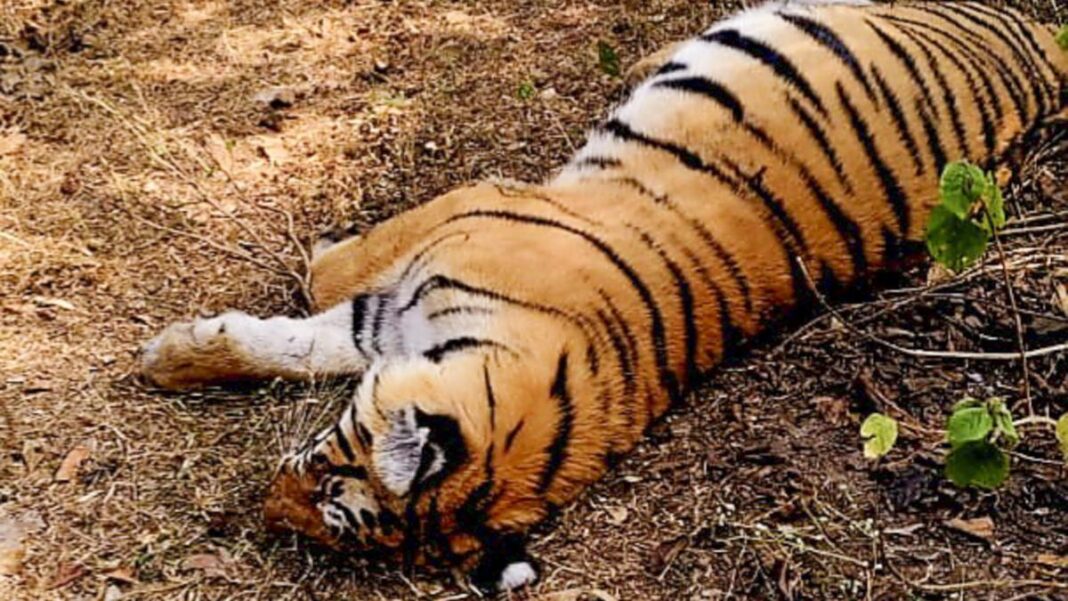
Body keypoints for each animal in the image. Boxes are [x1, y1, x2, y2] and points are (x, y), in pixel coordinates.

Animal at [140, 0, 1066, 592]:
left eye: (329, 501)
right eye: (325, 478)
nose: (261, 512)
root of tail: (1044, 50)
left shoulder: (440, 244)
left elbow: (319, 298)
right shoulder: (404, 296)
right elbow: (297, 329)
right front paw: (173, 360)